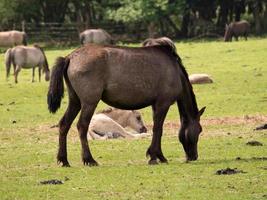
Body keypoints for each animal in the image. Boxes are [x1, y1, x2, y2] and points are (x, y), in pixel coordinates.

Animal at [47, 37, 206, 167]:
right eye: (199, 129)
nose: (193, 156)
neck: (175, 70)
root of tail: (70, 57)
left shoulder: (155, 105)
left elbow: (157, 129)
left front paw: (158, 155)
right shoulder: (163, 104)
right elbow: (158, 129)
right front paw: (155, 156)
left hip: (75, 102)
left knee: (64, 125)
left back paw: (63, 160)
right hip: (89, 103)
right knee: (82, 126)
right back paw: (89, 159)